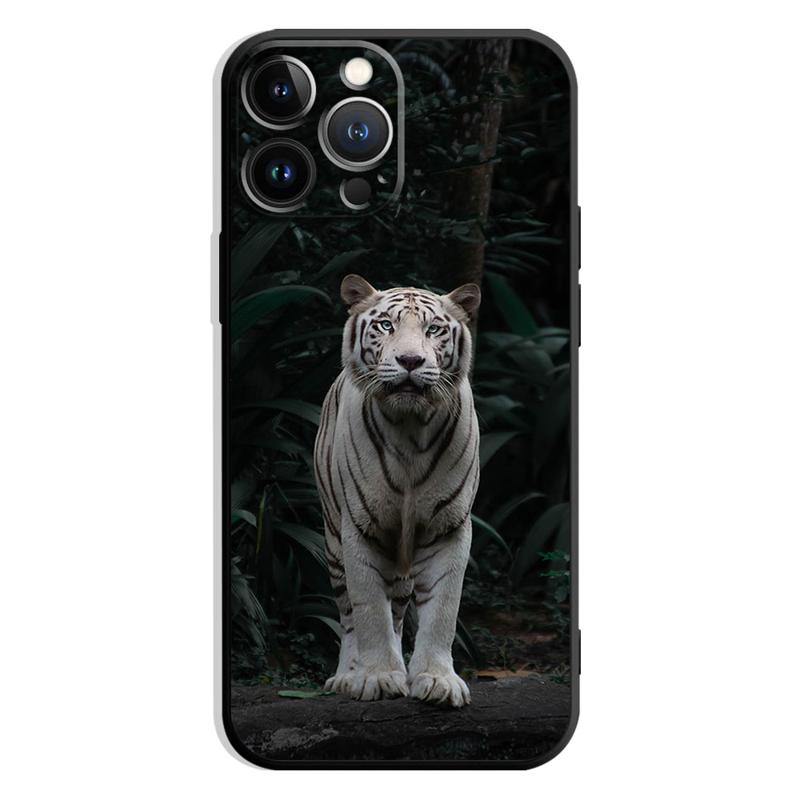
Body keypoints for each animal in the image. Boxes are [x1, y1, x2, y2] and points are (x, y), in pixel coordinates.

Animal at [313, 273, 481, 707]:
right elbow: (370, 609)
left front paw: (436, 680)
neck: (410, 428)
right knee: (349, 615)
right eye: (386, 325)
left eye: (433, 329)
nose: (410, 361)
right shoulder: (360, 527)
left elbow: (443, 609)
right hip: (333, 540)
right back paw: (347, 676)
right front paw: (377, 677)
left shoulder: (448, 527)